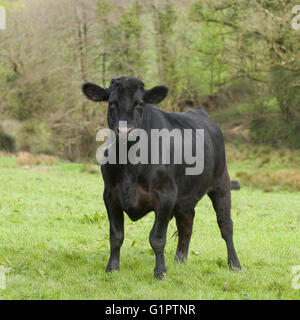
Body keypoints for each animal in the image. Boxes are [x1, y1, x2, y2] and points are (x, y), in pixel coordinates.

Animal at [82, 76, 241, 278]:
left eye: (139, 103)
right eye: (111, 102)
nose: (125, 131)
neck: (129, 165)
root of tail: (201, 113)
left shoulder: (166, 196)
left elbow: (157, 238)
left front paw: (160, 272)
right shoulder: (110, 196)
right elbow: (116, 236)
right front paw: (112, 268)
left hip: (221, 182)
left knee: (225, 225)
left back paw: (234, 264)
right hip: (185, 197)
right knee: (186, 223)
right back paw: (180, 260)